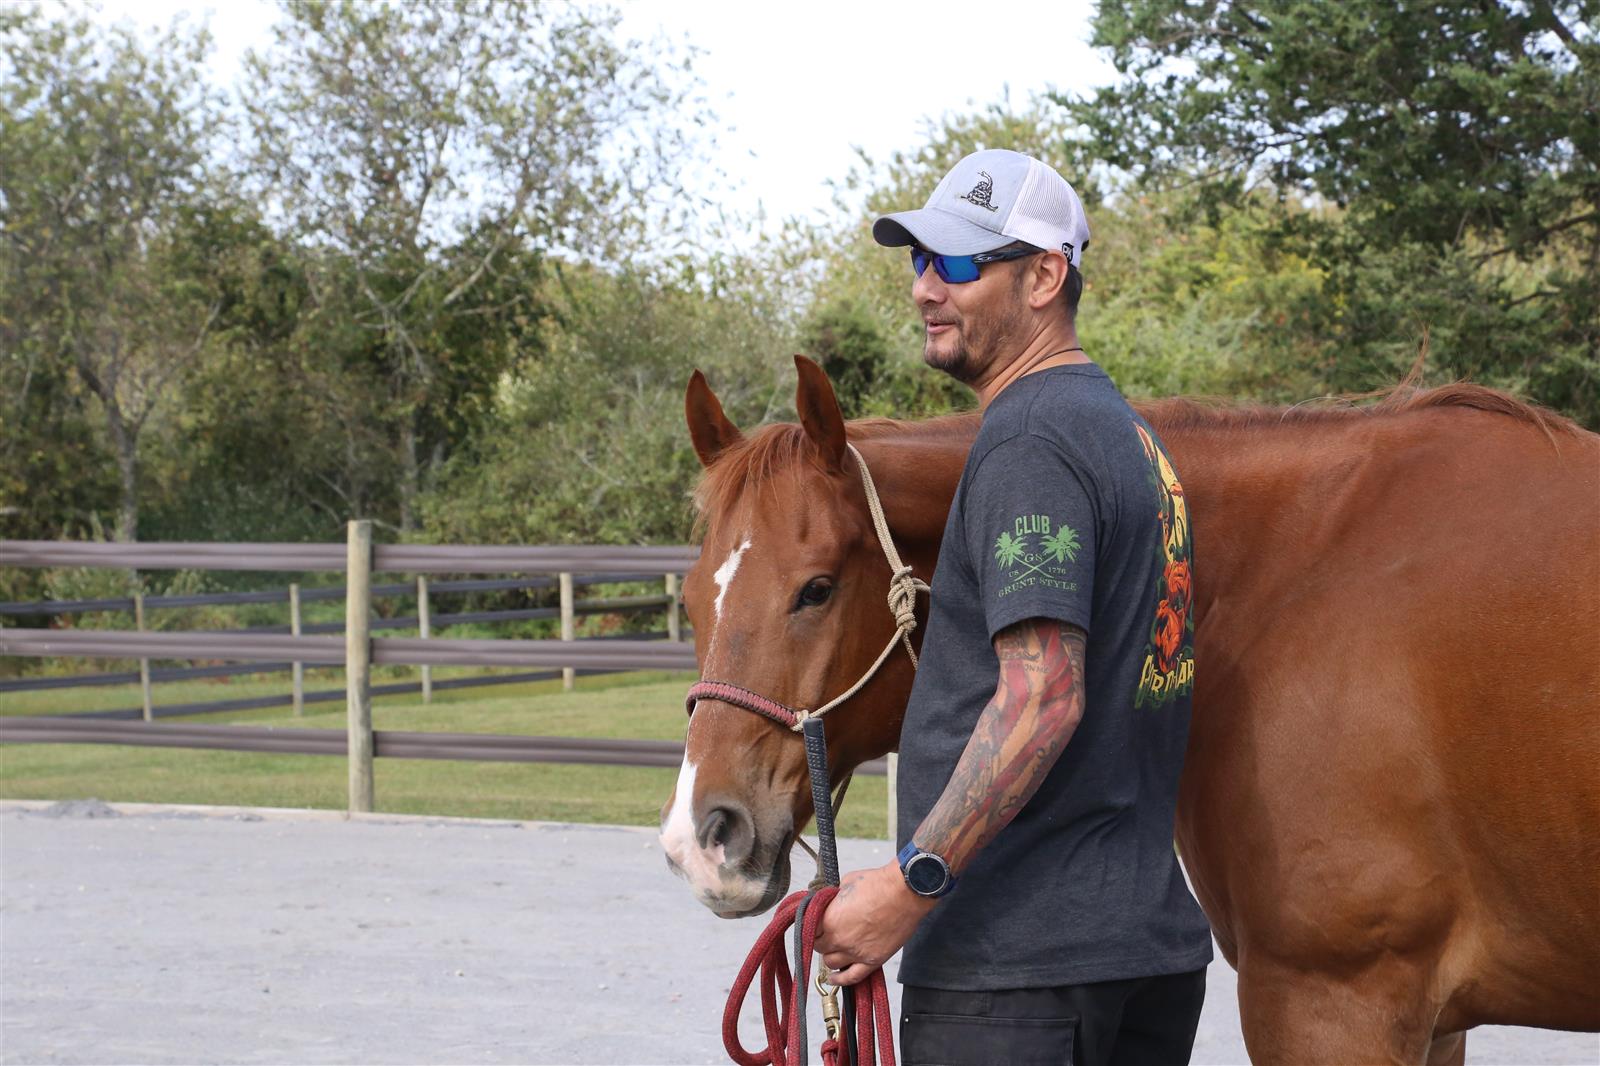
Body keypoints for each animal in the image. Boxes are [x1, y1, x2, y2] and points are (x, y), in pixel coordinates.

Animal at [659, 354, 1600, 1063]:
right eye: (693, 600)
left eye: (815, 589)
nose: (701, 840)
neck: (1302, 570)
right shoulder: (1430, 1019)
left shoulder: (1336, 999)